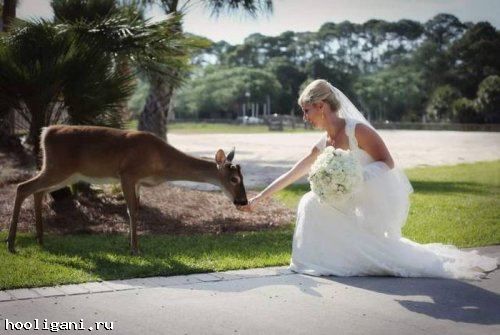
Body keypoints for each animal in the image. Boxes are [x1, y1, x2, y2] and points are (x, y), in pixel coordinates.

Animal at [5, 125, 248, 255]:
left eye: (242, 177)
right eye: (234, 178)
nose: (243, 201)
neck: (161, 161)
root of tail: (46, 131)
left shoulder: (138, 182)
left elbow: (136, 211)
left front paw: (133, 246)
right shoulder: (127, 174)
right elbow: (131, 211)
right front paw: (134, 249)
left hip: (67, 172)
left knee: (37, 191)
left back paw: (40, 238)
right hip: (58, 167)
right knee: (22, 187)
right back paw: (11, 243)